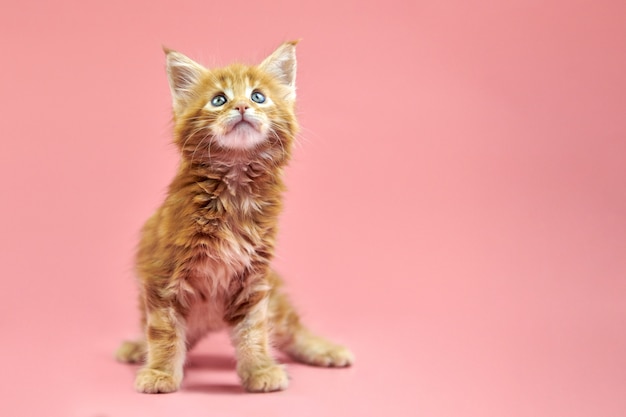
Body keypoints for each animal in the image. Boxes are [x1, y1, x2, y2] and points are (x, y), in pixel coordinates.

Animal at [116, 40, 352, 392]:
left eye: (257, 96)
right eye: (219, 100)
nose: (241, 106)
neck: (235, 192)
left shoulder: (254, 278)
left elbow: (254, 331)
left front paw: (260, 370)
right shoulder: (162, 277)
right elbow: (163, 331)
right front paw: (159, 372)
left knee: (292, 329)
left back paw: (326, 350)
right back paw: (136, 347)